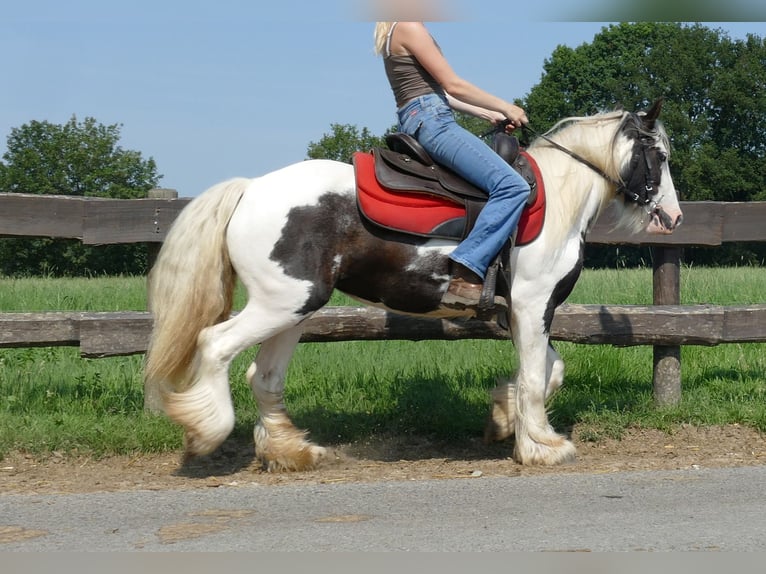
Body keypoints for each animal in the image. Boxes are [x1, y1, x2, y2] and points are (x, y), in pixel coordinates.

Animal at [144, 99, 684, 472]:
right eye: (657, 155)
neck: (556, 199)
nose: (674, 217)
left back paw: (291, 451)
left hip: (293, 309)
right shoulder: (533, 305)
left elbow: (551, 369)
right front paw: (542, 447)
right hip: (283, 304)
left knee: (265, 376)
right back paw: (207, 431)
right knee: (215, 345)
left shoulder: (519, 312)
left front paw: (503, 418)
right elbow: (536, 376)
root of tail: (250, 189)